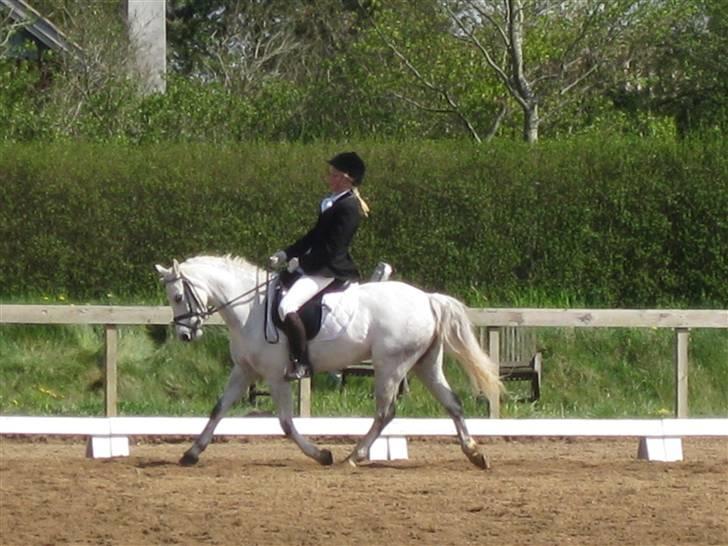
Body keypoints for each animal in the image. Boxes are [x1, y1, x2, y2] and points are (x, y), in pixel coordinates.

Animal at [155, 255, 503, 469]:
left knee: (386, 411)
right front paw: (191, 453)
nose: (185, 334)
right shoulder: (244, 371)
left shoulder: (275, 375)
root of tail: (428, 299)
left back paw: (354, 456)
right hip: (424, 364)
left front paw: (321, 454)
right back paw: (475, 454)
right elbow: (218, 409)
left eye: (178, 297)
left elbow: (285, 422)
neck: (249, 309)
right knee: (452, 403)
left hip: (391, 365)